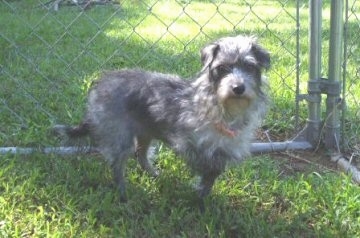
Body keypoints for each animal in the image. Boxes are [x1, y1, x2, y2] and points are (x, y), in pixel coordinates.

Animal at [54, 34, 270, 209]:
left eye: (250, 67)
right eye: (222, 68)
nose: (238, 88)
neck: (224, 110)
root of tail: (100, 83)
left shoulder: (224, 150)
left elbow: (213, 174)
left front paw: (203, 198)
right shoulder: (186, 143)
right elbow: (206, 166)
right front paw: (199, 197)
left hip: (145, 133)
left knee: (141, 156)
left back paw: (153, 174)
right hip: (120, 138)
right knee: (117, 166)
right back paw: (123, 193)